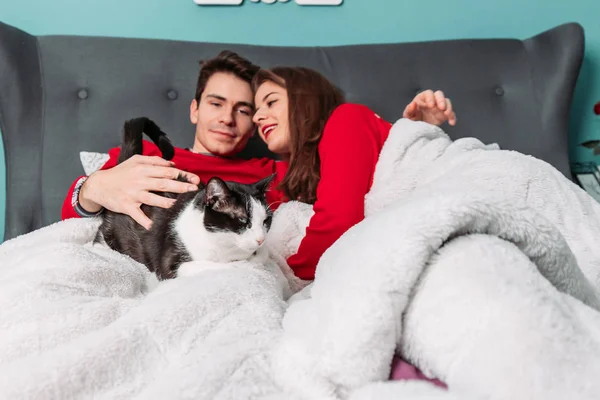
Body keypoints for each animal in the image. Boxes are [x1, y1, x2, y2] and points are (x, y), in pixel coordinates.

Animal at [95, 116, 274, 282]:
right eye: (243, 220)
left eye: (266, 220)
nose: (261, 239)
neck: (224, 247)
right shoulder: (171, 264)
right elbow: (221, 266)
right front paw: (242, 265)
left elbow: (262, 256)